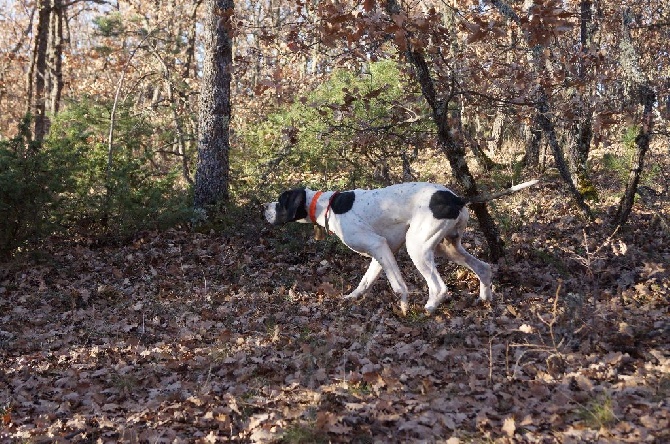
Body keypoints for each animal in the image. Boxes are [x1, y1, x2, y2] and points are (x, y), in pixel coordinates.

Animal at [266, 180, 540, 312]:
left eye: (279, 201)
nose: (263, 209)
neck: (326, 206)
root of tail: (457, 198)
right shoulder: (383, 252)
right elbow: (365, 282)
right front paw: (352, 298)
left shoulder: (378, 245)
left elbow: (399, 286)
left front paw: (404, 308)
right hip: (447, 247)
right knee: (483, 268)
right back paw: (484, 299)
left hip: (417, 247)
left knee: (439, 287)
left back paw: (430, 308)